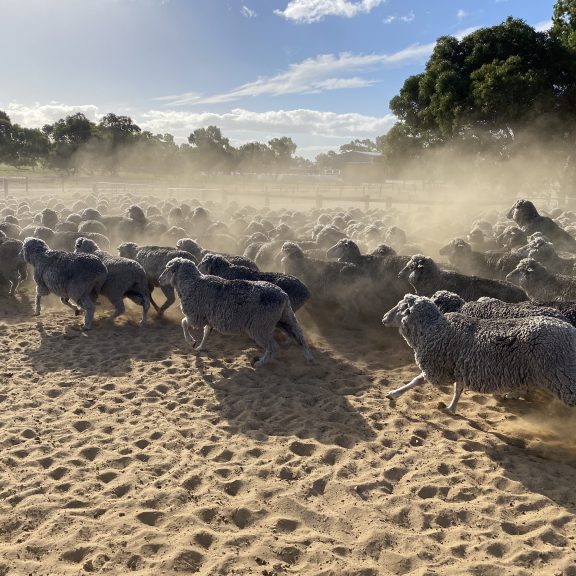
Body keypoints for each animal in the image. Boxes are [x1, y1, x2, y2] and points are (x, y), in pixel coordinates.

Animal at [159, 258, 316, 368]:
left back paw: (260, 363)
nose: (159, 279)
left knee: (273, 346)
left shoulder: (196, 316)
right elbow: (206, 332)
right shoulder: (209, 318)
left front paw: (191, 341)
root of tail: (283, 296)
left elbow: (183, 323)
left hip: (260, 326)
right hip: (284, 318)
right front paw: (200, 347)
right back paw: (309, 358)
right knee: (299, 336)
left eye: (167, 269)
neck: (191, 283)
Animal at [382, 294, 576, 412]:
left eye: (400, 307)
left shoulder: (437, 367)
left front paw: (394, 394)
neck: (434, 329)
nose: (383, 318)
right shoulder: (458, 366)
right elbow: (458, 389)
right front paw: (451, 408)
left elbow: (416, 381)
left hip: (564, 376)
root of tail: (569, 327)